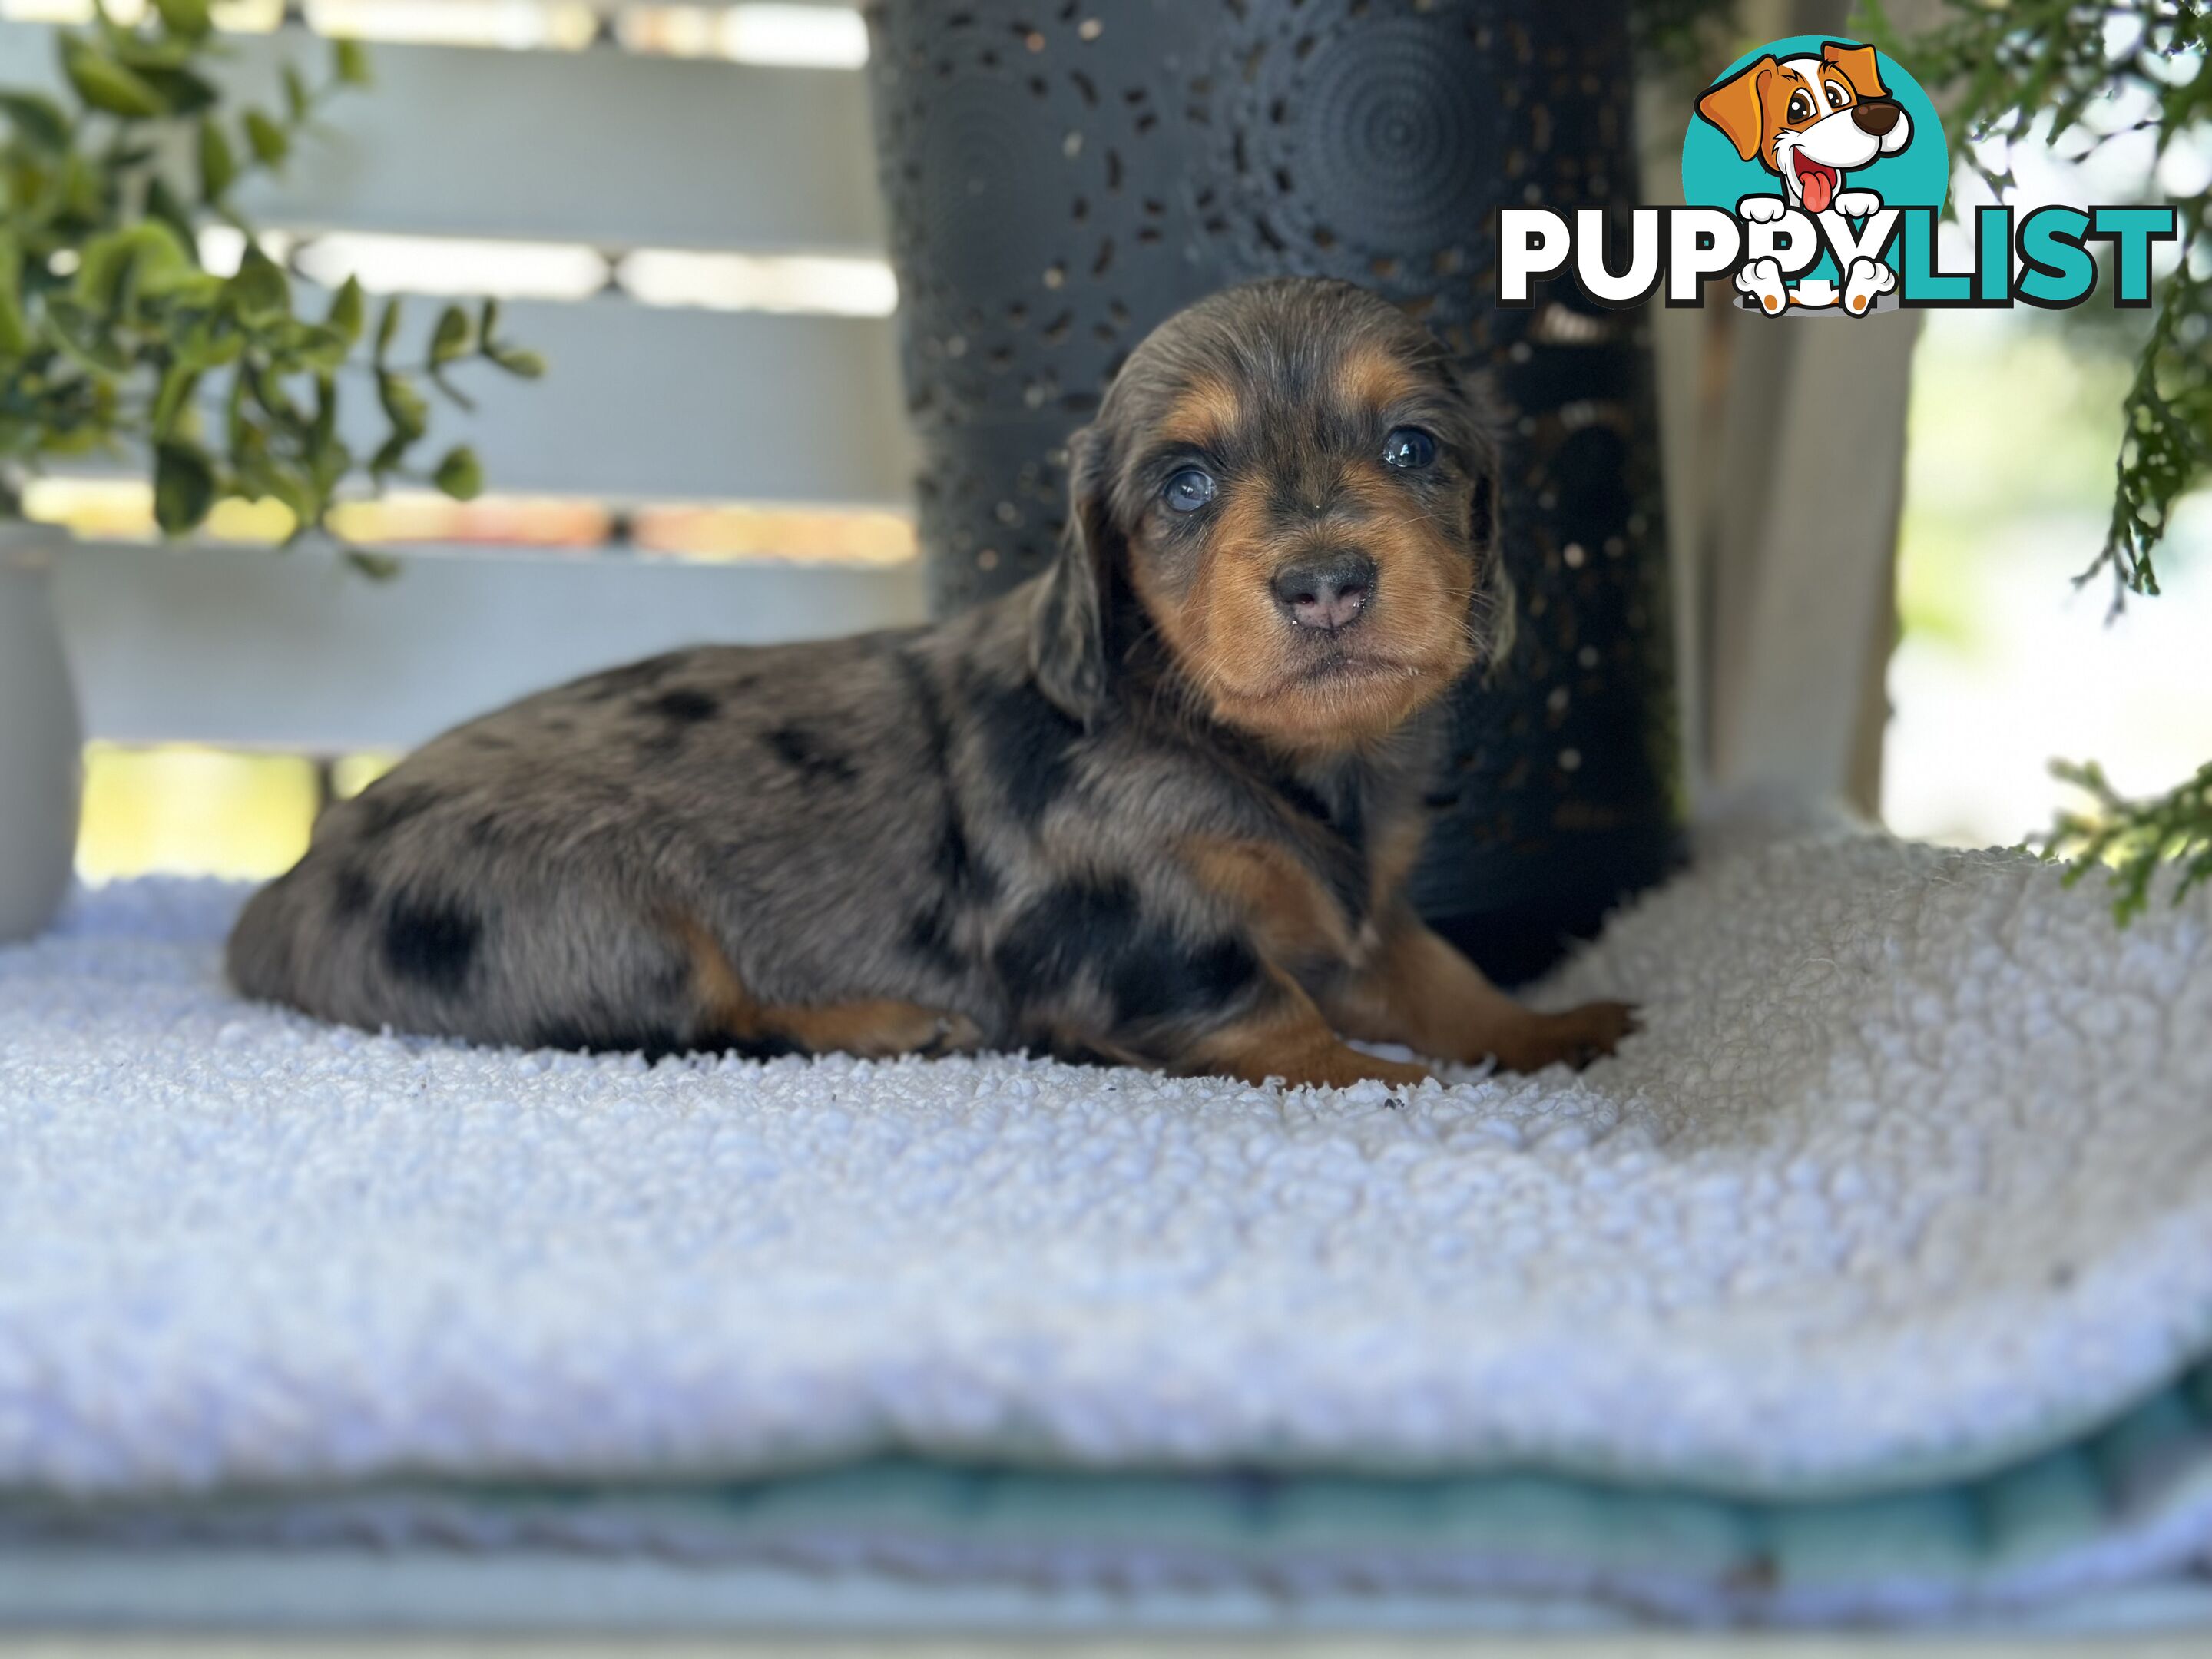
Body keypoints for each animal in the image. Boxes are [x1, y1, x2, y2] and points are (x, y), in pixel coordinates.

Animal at [229, 283, 1645, 1092]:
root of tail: (277, 900)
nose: (1328, 585)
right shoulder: (1109, 932)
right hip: (601, 913)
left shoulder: (1364, 913)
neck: (1254, 754)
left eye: (1411, 448)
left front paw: (1551, 1031)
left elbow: (1442, 975)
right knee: (709, 1018)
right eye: (1185, 483)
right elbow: (1255, 1004)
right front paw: (1379, 1077)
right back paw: (885, 1025)